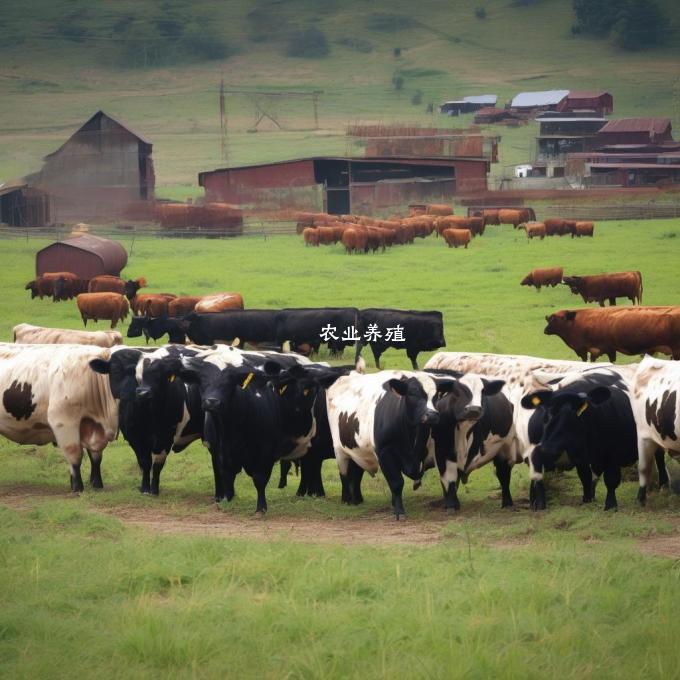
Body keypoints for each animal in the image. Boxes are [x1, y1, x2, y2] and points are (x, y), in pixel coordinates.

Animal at [0, 342, 118, 492]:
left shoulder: (94, 427)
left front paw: (97, 484)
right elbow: (75, 456)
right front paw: (77, 487)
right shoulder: (64, 422)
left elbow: (96, 457)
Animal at [326, 370, 454, 516]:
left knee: (356, 473)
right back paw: (347, 500)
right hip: (340, 451)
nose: (432, 415)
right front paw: (399, 511)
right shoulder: (384, 452)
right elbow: (396, 483)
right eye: (412, 393)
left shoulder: (431, 449)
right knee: (344, 475)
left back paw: (357, 500)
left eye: (437, 394)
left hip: (357, 452)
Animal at [544, 306, 680, 364]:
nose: (545, 330)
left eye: (558, 318)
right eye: (550, 318)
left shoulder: (603, 349)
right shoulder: (595, 350)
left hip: (676, 351)